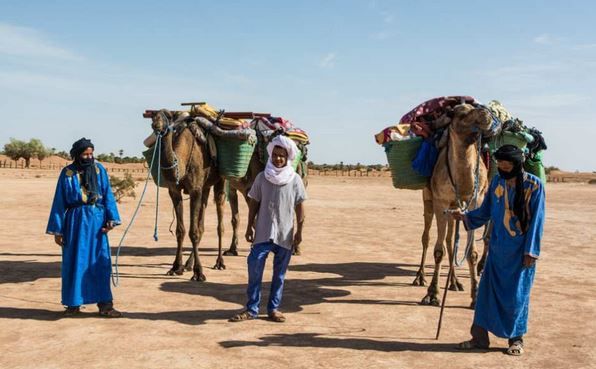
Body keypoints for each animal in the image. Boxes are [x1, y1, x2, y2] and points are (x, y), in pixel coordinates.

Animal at [150, 109, 227, 282]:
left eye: (168, 116)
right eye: (153, 115)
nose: (156, 123)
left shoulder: (195, 190)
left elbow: (193, 232)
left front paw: (199, 273)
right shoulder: (174, 191)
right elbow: (181, 230)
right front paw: (175, 267)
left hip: (220, 180)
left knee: (219, 218)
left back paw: (219, 262)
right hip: (205, 186)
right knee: (202, 221)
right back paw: (188, 264)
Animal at [414, 102, 494, 306]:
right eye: (461, 113)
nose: (486, 114)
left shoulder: (475, 202)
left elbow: (471, 252)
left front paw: (475, 296)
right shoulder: (441, 202)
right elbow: (438, 250)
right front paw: (432, 294)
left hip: (455, 207)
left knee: (451, 240)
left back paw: (454, 282)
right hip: (429, 200)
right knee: (427, 237)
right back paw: (419, 277)